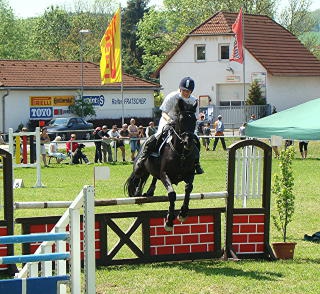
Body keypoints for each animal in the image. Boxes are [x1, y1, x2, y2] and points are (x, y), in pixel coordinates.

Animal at [124, 99, 198, 232]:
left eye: (194, 120)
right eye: (181, 120)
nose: (188, 143)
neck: (181, 153)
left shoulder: (190, 173)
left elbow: (188, 188)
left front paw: (183, 213)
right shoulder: (165, 174)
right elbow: (172, 194)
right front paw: (169, 221)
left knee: (151, 177)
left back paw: (149, 191)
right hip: (141, 168)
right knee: (140, 176)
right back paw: (138, 192)